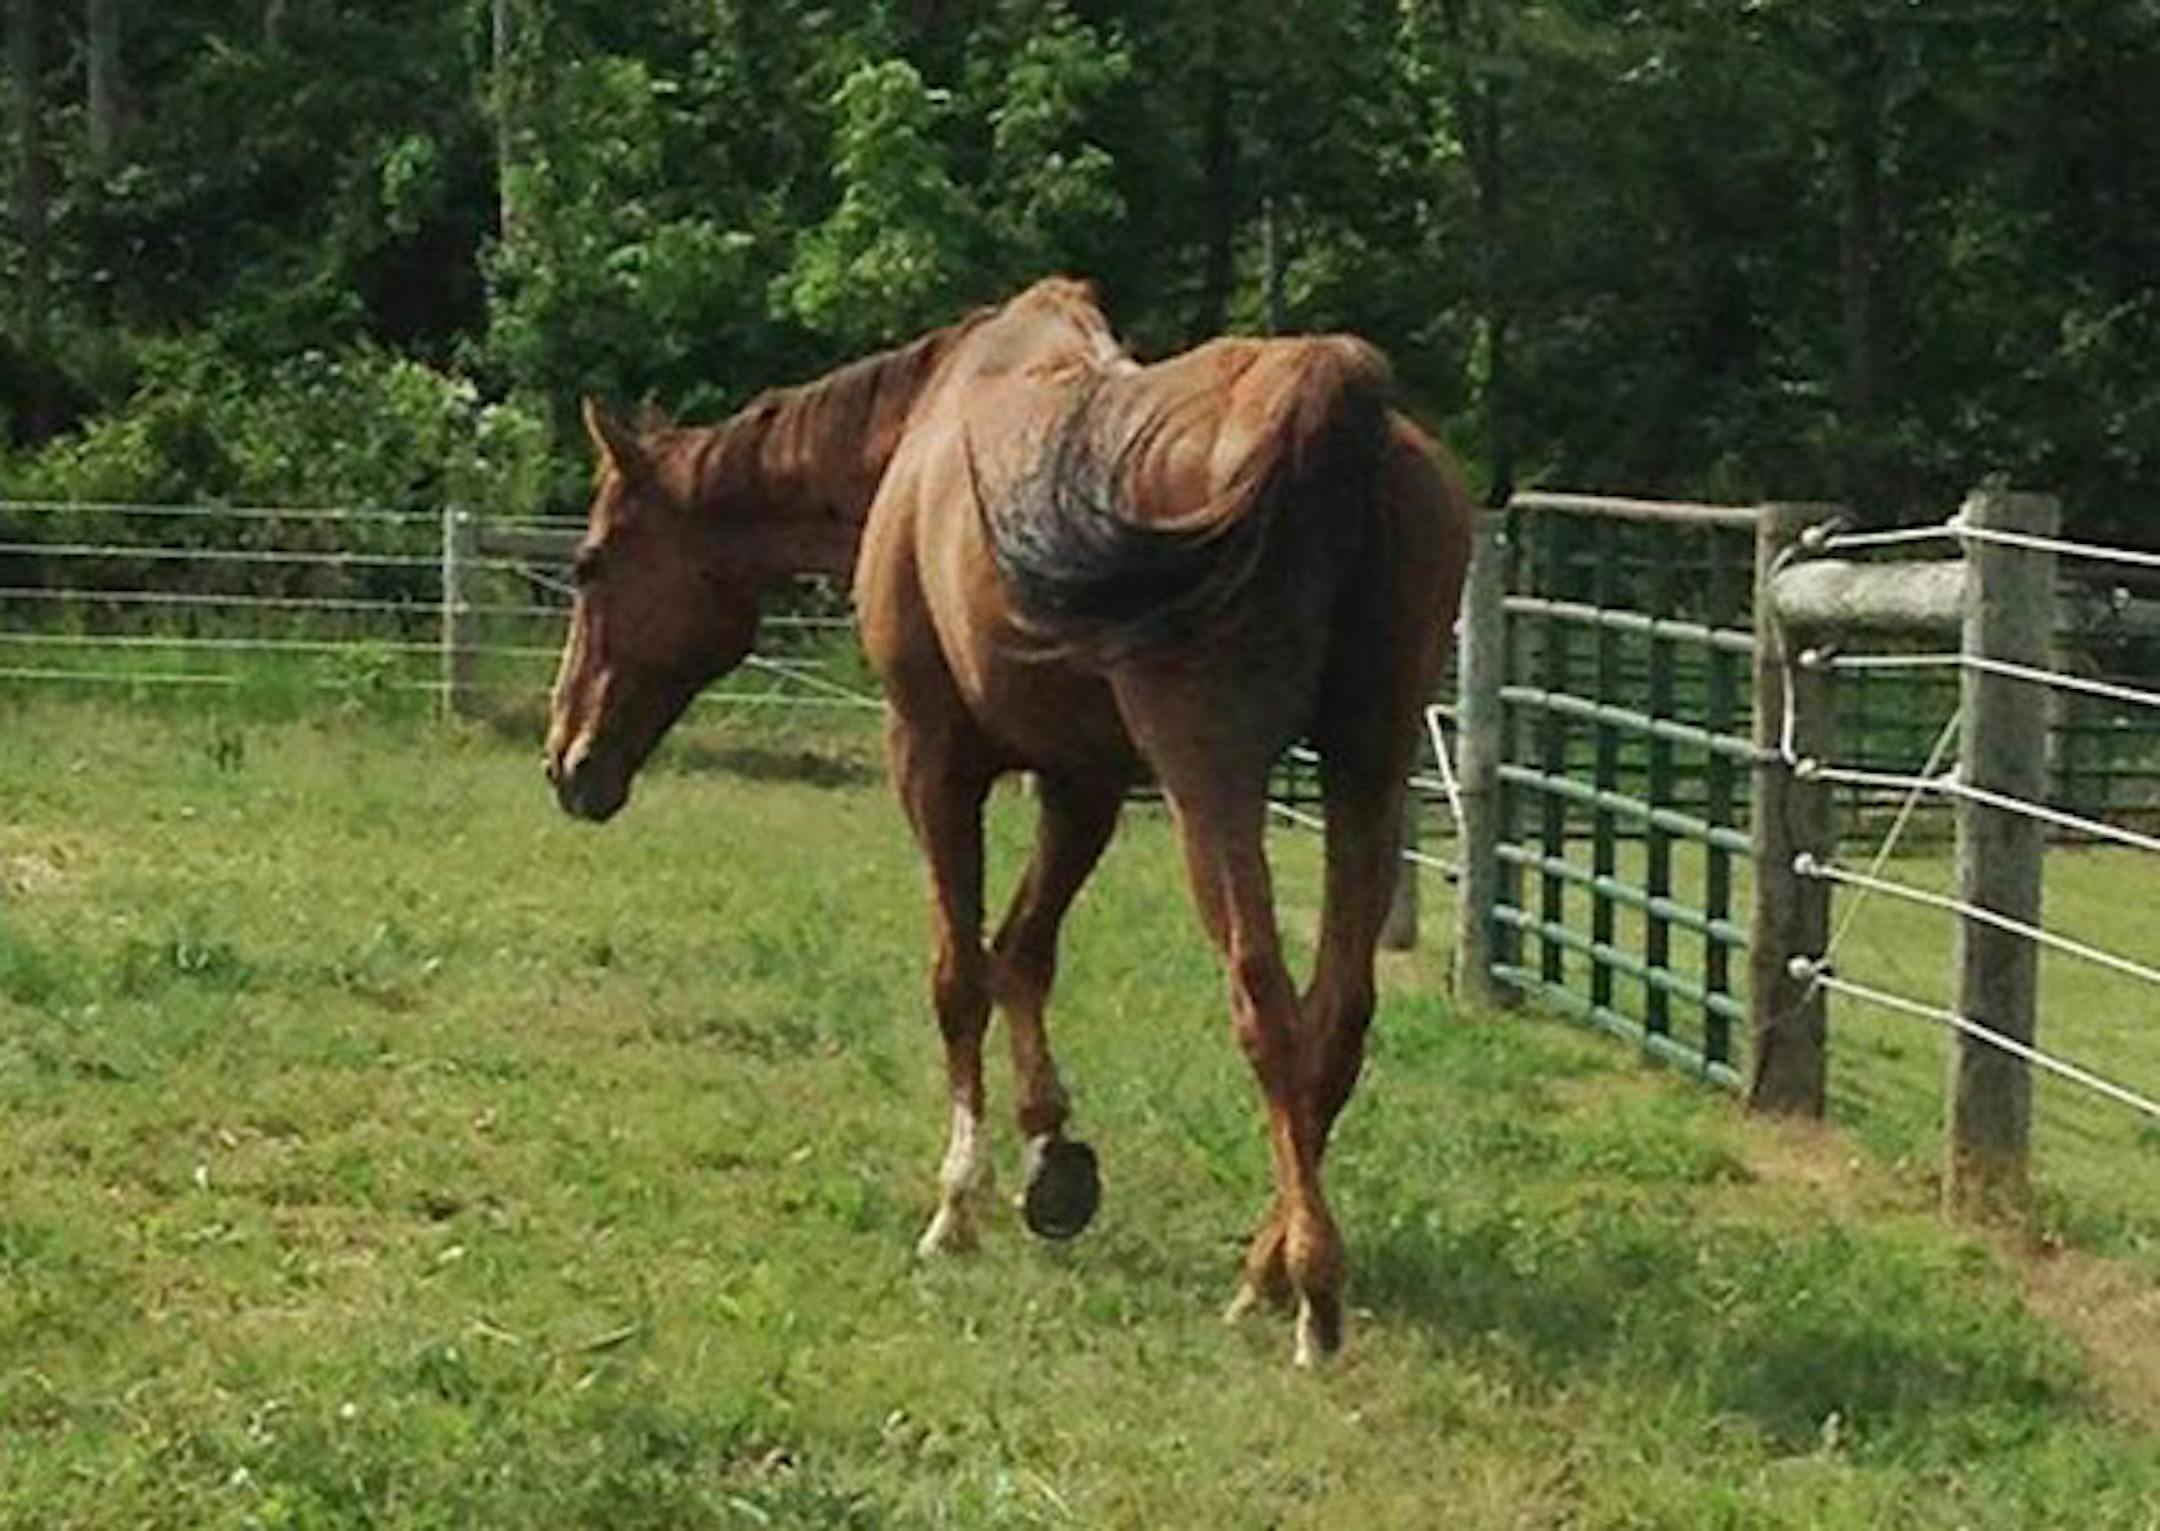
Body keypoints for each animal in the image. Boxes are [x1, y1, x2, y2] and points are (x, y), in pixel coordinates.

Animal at [544, 277, 1473, 1365]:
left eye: (590, 563)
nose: (568, 763)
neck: (923, 432)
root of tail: (1331, 395)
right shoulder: (1082, 782)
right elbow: (1024, 953)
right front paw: (1053, 1157)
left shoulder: (932, 755)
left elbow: (959, 972)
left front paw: (958, 1202)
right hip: (1367, 769)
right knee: (1337, 1016)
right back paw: (1268, 1267)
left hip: (1215, 780)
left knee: (1266, 1004)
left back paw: (1312, 1299)